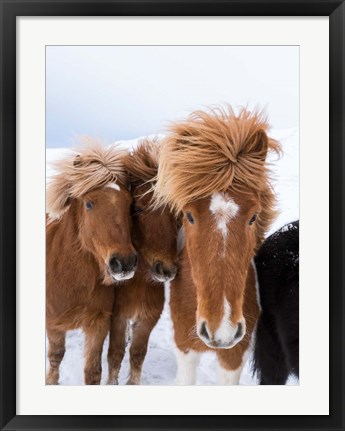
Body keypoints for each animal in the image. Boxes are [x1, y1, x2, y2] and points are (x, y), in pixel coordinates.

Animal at [46, 141, 137, 384]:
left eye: (129, 204)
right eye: (89, 204)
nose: (124, 262)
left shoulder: (98, 323)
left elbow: (93, 372)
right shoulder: (53, 324)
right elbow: (56, 356)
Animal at [107, 140, 179, 386]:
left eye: (175, 213)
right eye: (137, 208)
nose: (166, 269)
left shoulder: (148, 317)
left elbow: (137, 353)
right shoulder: (117, 316)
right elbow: (115, 353)